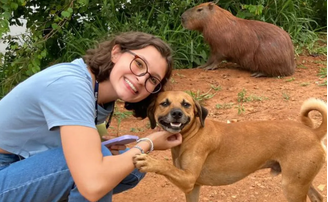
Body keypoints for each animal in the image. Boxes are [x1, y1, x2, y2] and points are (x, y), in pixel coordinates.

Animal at [133, 91, 326, 202]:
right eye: (164, 103)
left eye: (186, 104)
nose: (177, 113)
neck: (192, 133)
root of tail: (314, 132)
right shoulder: (193, 187)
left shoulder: (188, 179)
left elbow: (164, 165)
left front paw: (150, 162)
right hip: (300, 181)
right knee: (318, 197)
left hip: (292, 187)